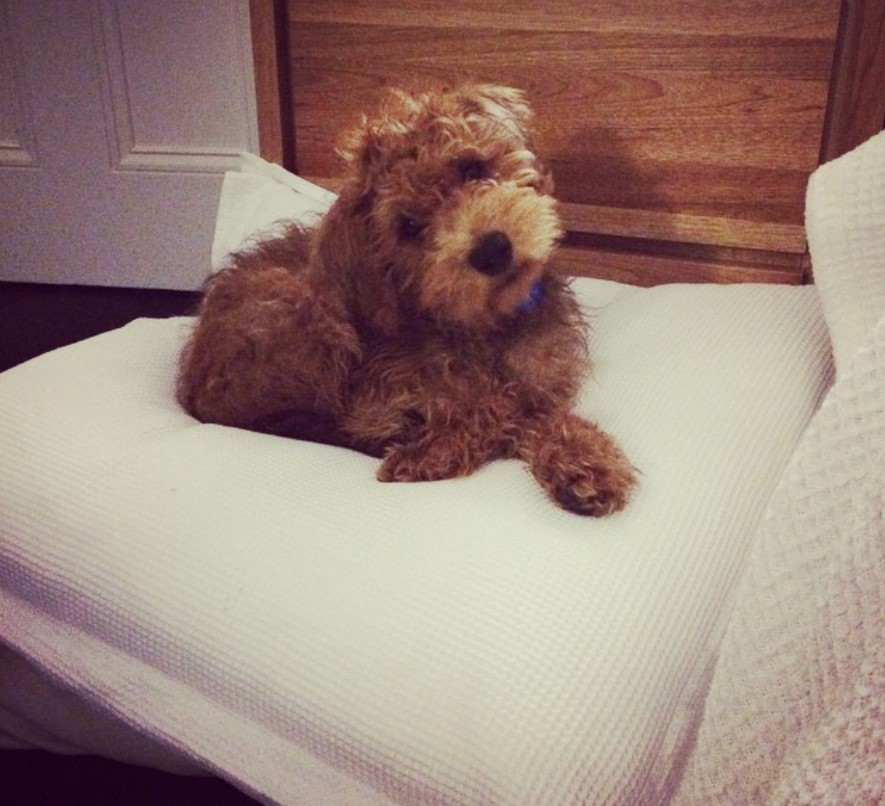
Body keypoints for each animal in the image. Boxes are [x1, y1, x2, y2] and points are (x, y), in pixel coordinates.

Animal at [178, 85, 636, 516]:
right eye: (410, 226)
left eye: (472, 168)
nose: (492, 250)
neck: (489, 328)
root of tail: (192, 387)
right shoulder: (377, 397)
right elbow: (494, 411)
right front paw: (430, 452)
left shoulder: (542, 383)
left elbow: (532, 410)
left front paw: (588, 461)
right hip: (312, 320)